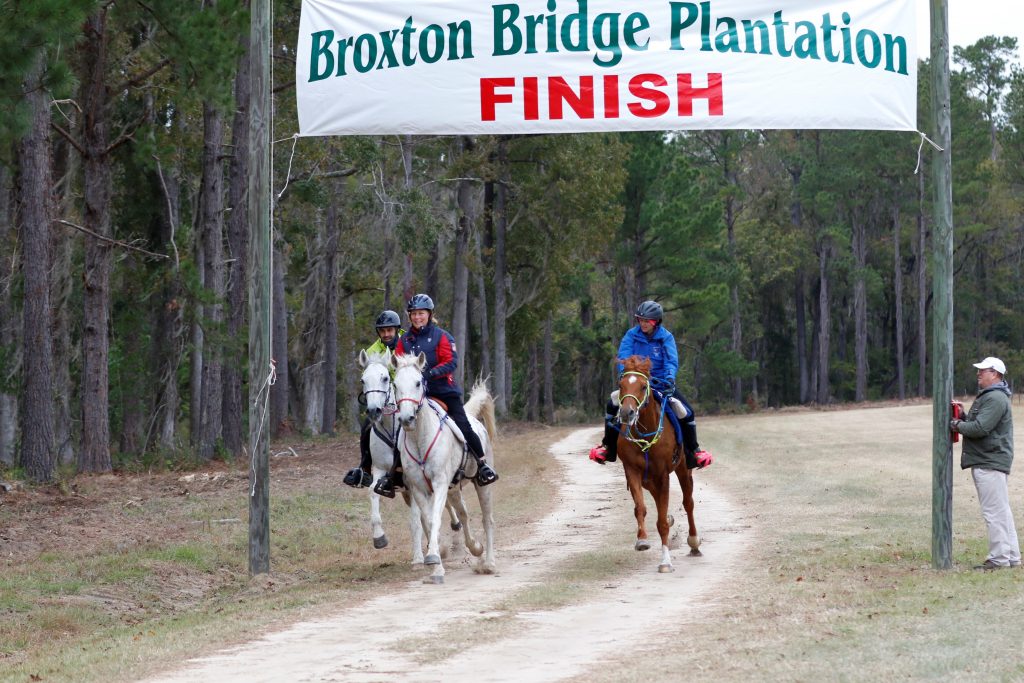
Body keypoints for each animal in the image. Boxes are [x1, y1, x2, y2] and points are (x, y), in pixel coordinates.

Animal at [356, 350, 460, 565]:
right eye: (363, 380)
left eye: (385, 378)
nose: (374, 410)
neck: (391, 429)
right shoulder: (381, 471)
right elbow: (372, 492)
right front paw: (379, 538)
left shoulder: (412, 482)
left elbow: (416, 520)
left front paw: (420, 557)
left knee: (445, 504)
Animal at [391, 352, 495, 581]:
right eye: (394, 384)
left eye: (418, 382)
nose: (406, 419)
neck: (420, 439)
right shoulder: (419, 489)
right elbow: (430, 522)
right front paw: (435, 564)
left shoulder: (439, 484)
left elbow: (436, 519)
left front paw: (433, 559)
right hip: (454, 489)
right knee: (463, 514)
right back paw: (475, 547)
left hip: (482, 485)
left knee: (487, 519)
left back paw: (489, 563)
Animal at [610, 356, 700, 573]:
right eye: (621, 385)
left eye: (643, 386)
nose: (626, 413)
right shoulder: (632, 471)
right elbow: (640, 508)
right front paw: (642, 540)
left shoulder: (663, 474)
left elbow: (662, 522)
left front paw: (665, 561)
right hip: (648, 479)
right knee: (658, 500)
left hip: (682, 470)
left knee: (688, 503)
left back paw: (694, 542)